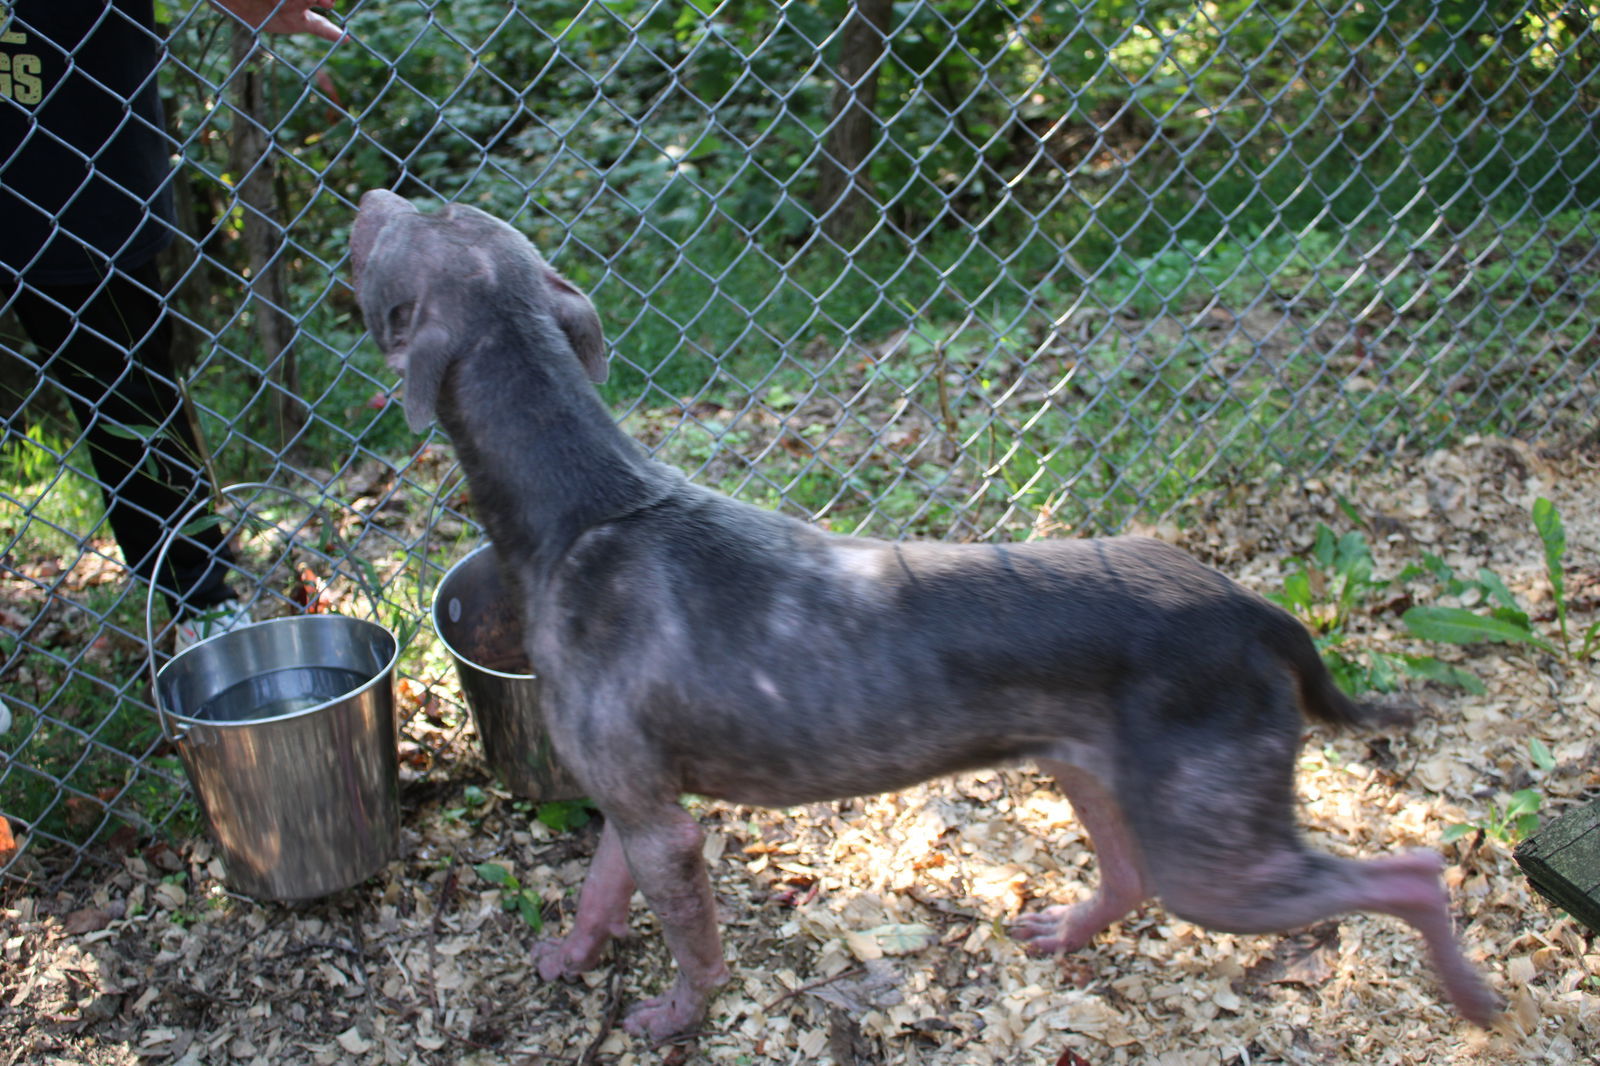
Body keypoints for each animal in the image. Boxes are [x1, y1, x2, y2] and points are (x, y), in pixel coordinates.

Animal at [350, 188, 1497, 1037]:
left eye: (409, 225)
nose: (368, 196)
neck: (584, 501)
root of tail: (1255, 612)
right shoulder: (631, 800)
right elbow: (599, 892)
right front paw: (572, 957)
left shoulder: (661, 825)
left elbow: (695, 945)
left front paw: (675, 1016)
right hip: (1097, 772)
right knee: (1129, 876)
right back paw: (1066, 933)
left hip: (1215, 852)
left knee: (1412, 870)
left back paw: (1473, 995)